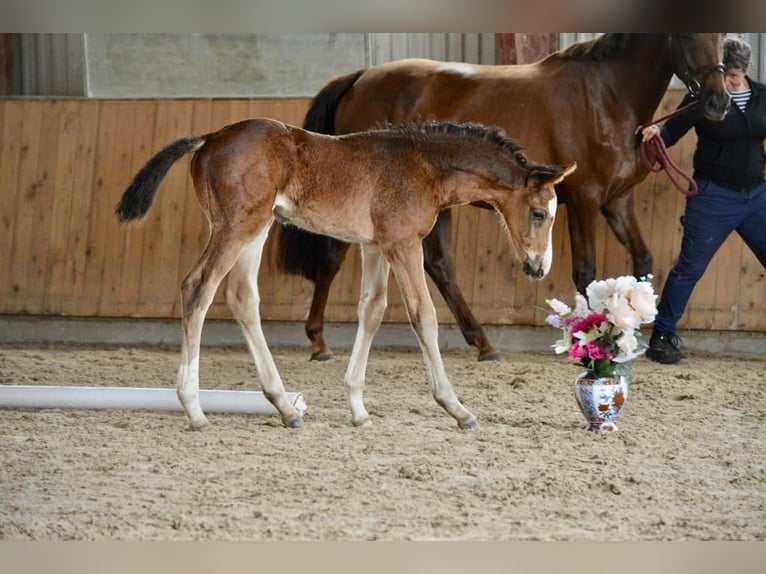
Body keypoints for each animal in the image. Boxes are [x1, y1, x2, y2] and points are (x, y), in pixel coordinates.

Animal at [116, 118, 576, 429]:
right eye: (539, 213)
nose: (538, 267)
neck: (423, 165)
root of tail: (209, 138)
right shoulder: (402, 244)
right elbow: (422, 315)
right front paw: (457, 408)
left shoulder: (375, 246)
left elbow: (371, 311)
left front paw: (358, 409)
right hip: (234, 226)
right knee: (198, 287)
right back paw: (194, 408)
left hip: (257, 228)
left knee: (242, 297)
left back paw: (285, 407)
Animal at [276, 33, 731, 362]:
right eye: (688, 33)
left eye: (721, 33)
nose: (719, 101)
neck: (606, 96)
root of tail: (359, 77)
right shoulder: (585, 200)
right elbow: (586, 271)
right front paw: (591, 335)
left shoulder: (617, 202)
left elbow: (644, 262)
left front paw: (639, 337)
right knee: (332, 259)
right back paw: (318, 343)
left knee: (439, 266)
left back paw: (483, 343)